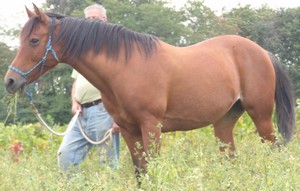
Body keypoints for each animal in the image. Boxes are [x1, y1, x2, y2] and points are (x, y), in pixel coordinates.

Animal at [4, 4, 296, 177]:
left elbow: (152, 167)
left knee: (274, 149)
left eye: (34, 40)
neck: (125, 66)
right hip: (224, 121)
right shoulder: (127, 129)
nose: (10, 81)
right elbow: (140, 170)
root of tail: (263, 52)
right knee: (230, 157)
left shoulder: (151, 126)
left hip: (261, 116)